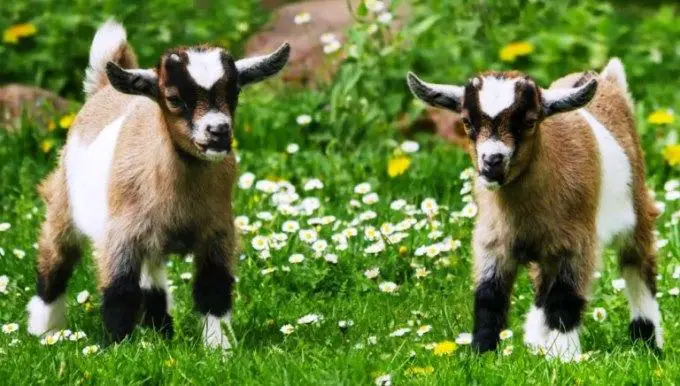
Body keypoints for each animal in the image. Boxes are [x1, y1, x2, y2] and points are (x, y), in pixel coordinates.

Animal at [28, 19, 290, 348]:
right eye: (174, 99)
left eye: (235, 93)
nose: (218, 131)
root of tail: (102, 89)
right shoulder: (120, 235)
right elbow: (119, 291)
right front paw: (117, 347)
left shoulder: (217, 230)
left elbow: (213, 288)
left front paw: (219, 348)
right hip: (63, 204)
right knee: (55, 261)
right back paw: (44, 331)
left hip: (151, 239)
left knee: (152, 278)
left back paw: (160, 331)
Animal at [406, 58, 660, 362]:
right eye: (467, 122)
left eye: (529, 122)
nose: (492, 161)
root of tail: (608, 80)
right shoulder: (492, 242)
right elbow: (489, 297)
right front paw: (482, 353)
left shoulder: (576, 244)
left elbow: (565, 299)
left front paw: (565, 358)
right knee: (542, 287)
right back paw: (536, 341)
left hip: (637, 212)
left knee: (638, 268)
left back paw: (648, 343)